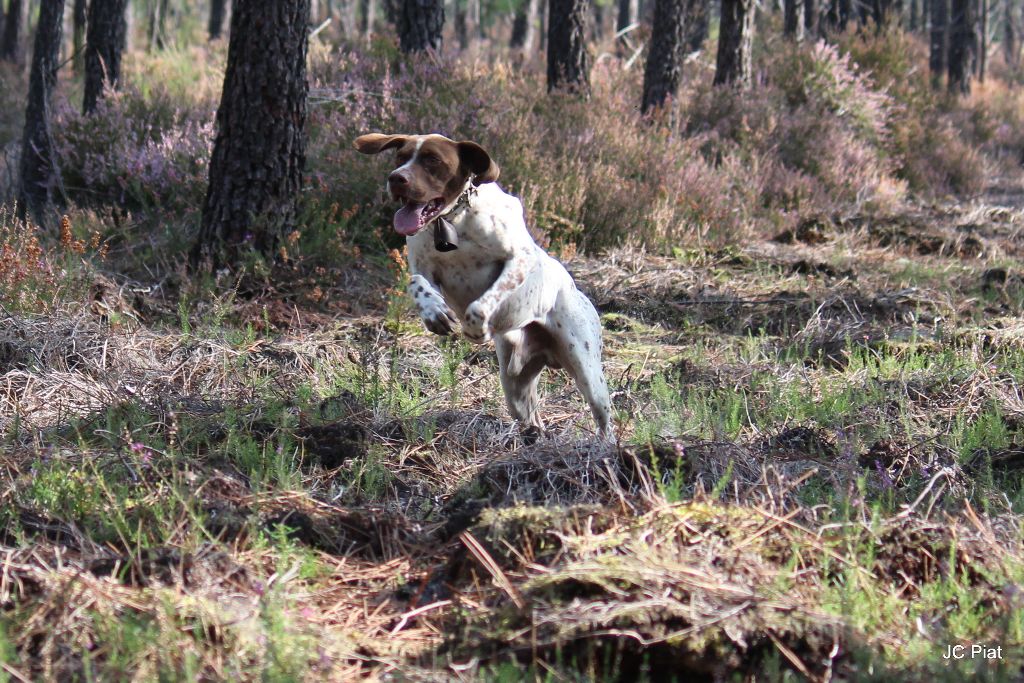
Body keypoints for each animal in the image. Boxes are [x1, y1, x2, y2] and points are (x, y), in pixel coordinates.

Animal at [354, 132, 606, 438]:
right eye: (400, 158)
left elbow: (480, 305)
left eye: (433, 160)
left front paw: (476, 331)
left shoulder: (518, 260)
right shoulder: (423, 268)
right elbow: (417, 282)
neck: (454, 220)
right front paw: (434, 313)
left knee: (605, 421)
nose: (396, 178)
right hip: (515, 387)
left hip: (587, 371)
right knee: (533, 418)